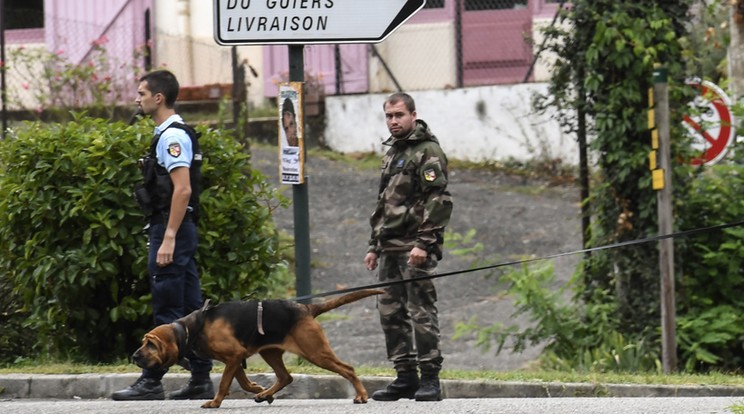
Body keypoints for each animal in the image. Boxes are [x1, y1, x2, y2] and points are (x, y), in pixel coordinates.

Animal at [130, 290, 380, 410]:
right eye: (143, 342)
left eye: (150, 345)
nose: (134, 356)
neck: (192, 328)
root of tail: (307, 308)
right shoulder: (235, 358)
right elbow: (241, 381)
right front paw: (256, 388)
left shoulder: (234, 356)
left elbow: (224, 383)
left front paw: (215, 402)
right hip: (270, 352)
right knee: (285, 377)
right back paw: (265, 394)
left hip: (315, 352)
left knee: (347, 369)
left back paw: (362, 395)